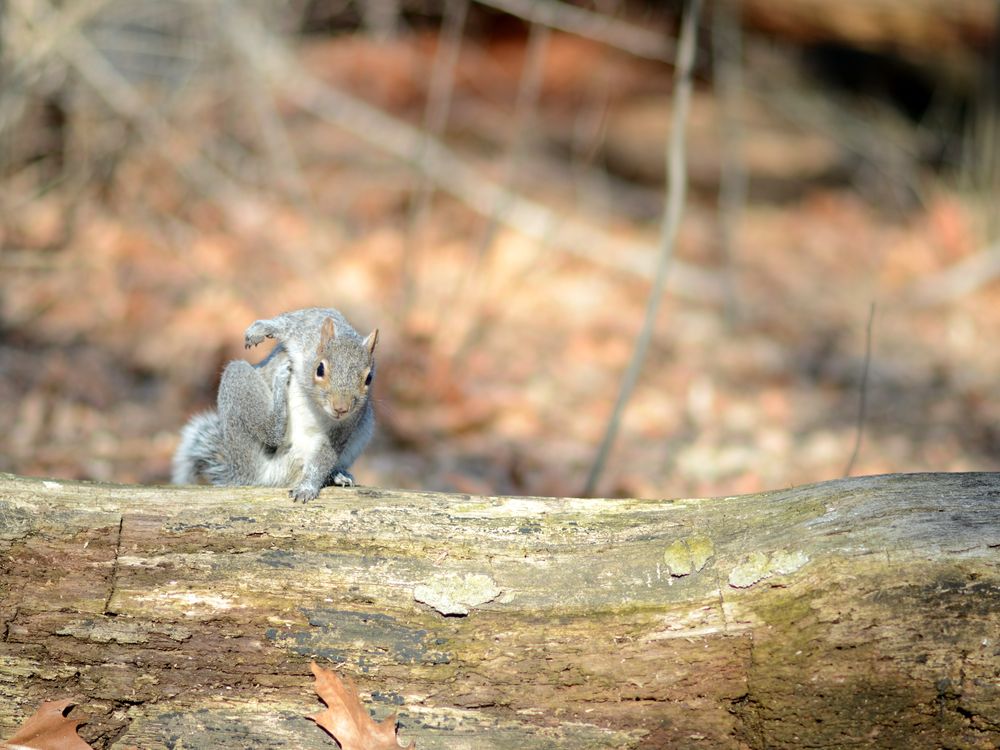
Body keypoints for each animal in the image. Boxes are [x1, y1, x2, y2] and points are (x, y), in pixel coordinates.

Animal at [172, 308, 378, 502]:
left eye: (369, 378)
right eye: (320, 369)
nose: (341, 408)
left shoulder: (347, 424)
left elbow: (325, 456)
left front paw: (307, 487)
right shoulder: (306, 328)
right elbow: (287, 321)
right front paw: (259, 330)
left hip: (365, 427)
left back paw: (337, 475)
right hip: (238, 388)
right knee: (270, 433)